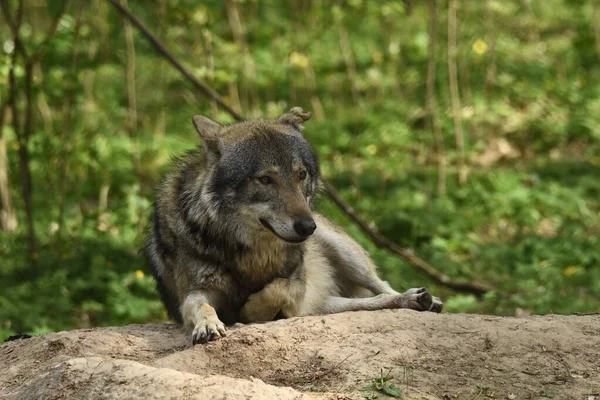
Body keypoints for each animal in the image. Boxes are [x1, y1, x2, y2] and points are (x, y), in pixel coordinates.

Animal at [145, 106, 440, 344]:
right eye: (265, 179)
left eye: (301, 175)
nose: (307, 227)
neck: (254, 255)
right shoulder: (194, 293)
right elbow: (201, 307)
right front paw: (209, 325)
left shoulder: (298, 287)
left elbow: (278, 289)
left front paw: (252, 310)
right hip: (329, 303)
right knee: (371, 301)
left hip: (346, 254)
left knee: (383, 286)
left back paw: (420, 298)